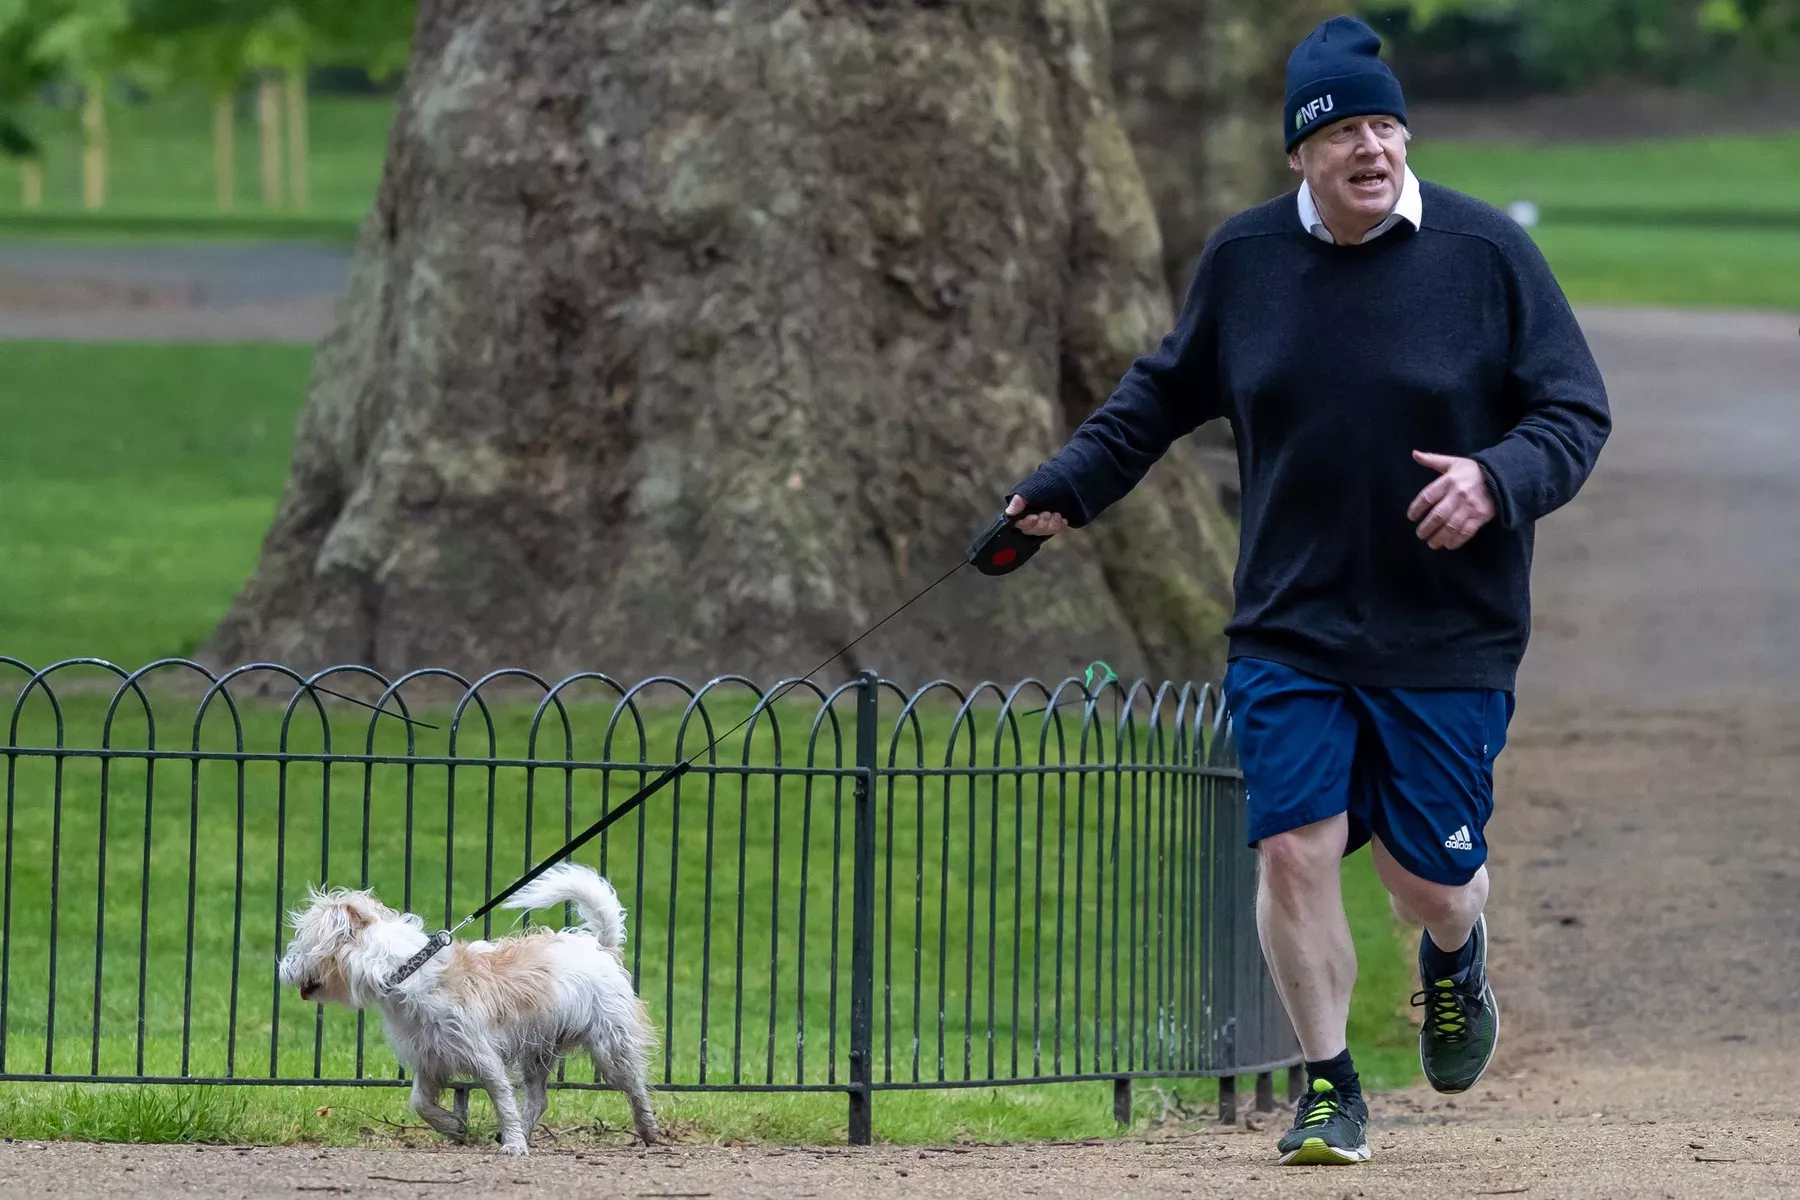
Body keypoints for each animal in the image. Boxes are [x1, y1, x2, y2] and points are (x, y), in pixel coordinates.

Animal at [284, 863, 666, 1151]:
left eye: (301, 944)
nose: (282, 967)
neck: (410, 971)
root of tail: (600, 948)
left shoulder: (485, 1057)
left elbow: (502, 1099)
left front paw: (513, 1145)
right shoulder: (430, 1059)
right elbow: (420, 1103)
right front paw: (453, 1126)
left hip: (609, 1044)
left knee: (634, 1085)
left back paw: (647, 1129)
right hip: (537, 1050)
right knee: (538, 1099)